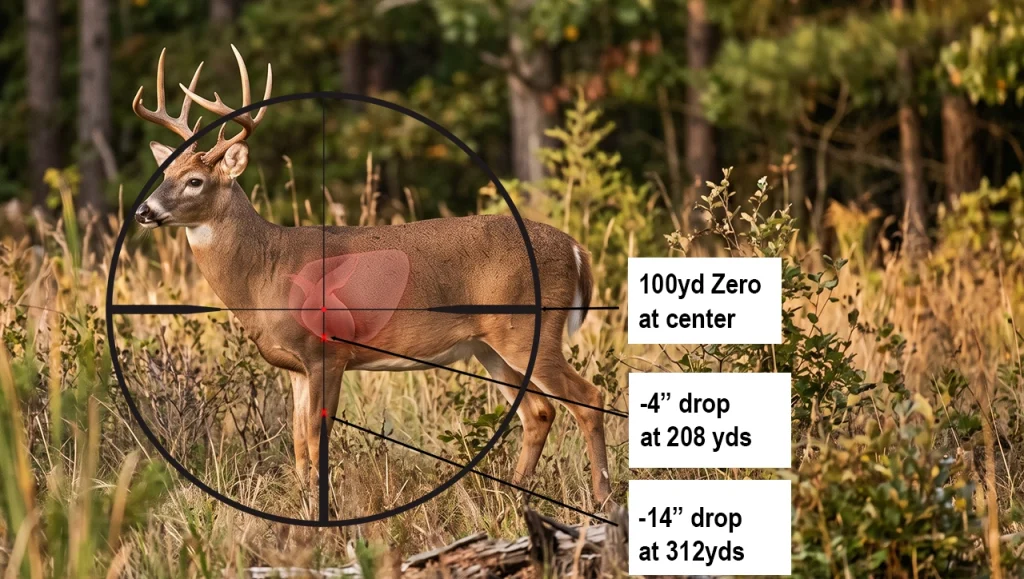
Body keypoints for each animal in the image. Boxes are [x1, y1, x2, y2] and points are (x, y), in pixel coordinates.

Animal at [131, 45, 612, 507]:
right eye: (165, 173)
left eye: (195, 180)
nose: (143, 211)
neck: (265, 273)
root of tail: (576, 250)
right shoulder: (295, 366)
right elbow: (297, 442)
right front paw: (301, 503)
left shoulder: (327, 351)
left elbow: (315, 438)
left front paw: (324, 507)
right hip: (490, 345)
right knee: (540, 413)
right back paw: (516, 495)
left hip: (528, 329)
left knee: (588, 399)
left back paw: (602, 498)